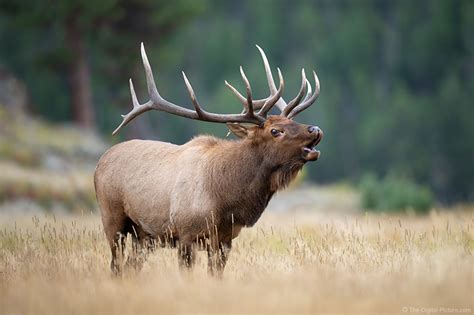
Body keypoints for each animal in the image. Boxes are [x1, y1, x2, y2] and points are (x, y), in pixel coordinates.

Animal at [94, 43, 324, 276]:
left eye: (292, 121)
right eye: (275, 131)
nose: (315, 129)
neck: (226, 200)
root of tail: (102, 160)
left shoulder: (225, 240)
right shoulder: (186, 234)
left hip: (143, 236)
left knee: (131, 266)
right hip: (113, 218)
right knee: (115, 265)